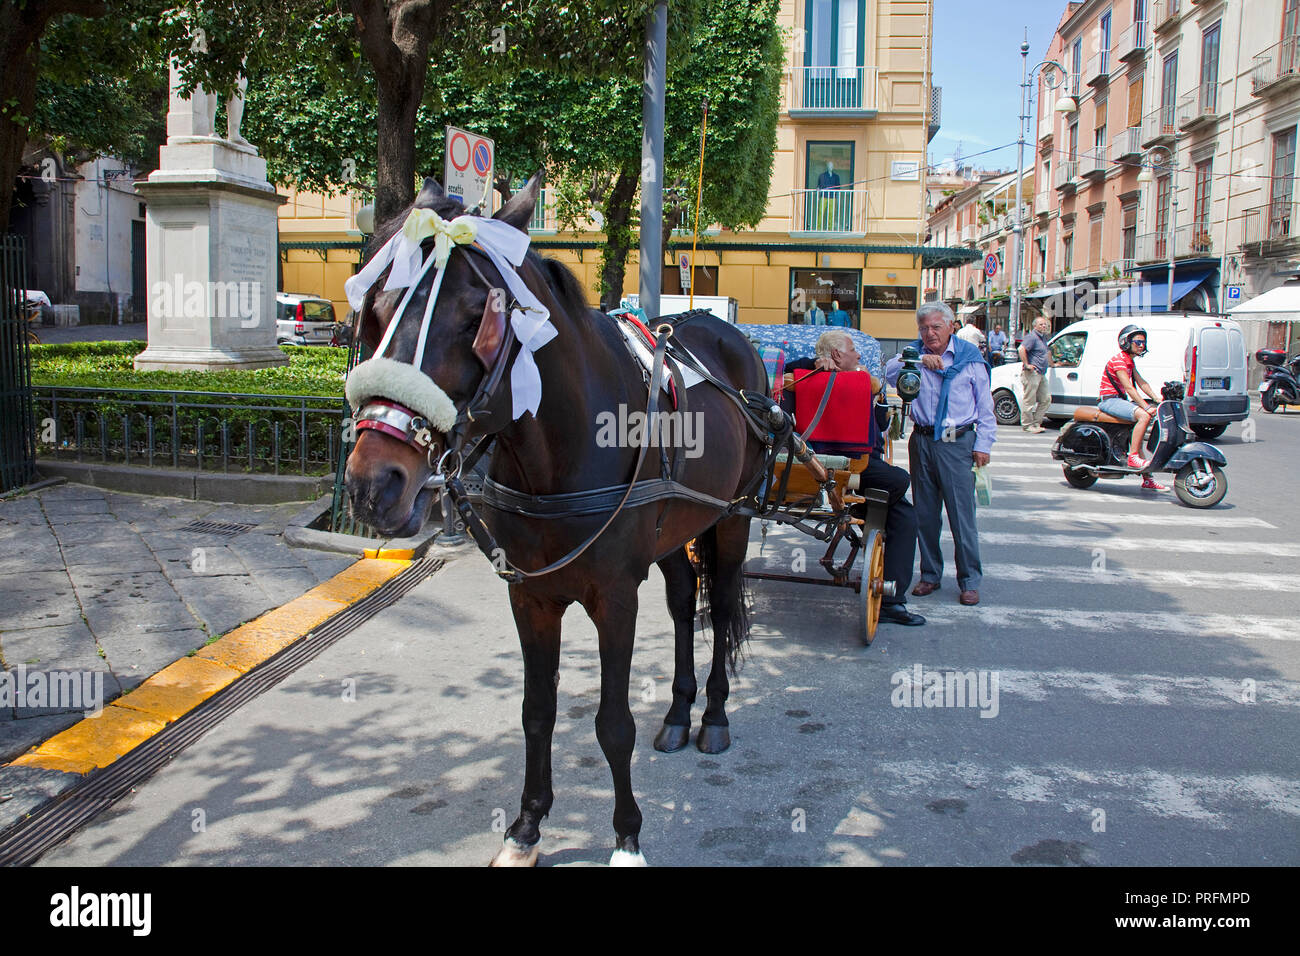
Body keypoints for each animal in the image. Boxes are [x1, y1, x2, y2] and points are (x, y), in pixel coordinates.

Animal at [343, 173, 771, 866]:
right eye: (374, 311)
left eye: (478, 319)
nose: (373, 483)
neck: (559, 452)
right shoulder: (532, 598)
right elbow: (536, 710)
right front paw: (526, 827)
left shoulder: (616, 595)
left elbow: (613, 724)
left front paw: (626, 838)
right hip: (675, 531)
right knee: (685, 600)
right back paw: (679, 713)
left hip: (730, 520)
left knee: (724, 599)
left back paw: (712, 717)